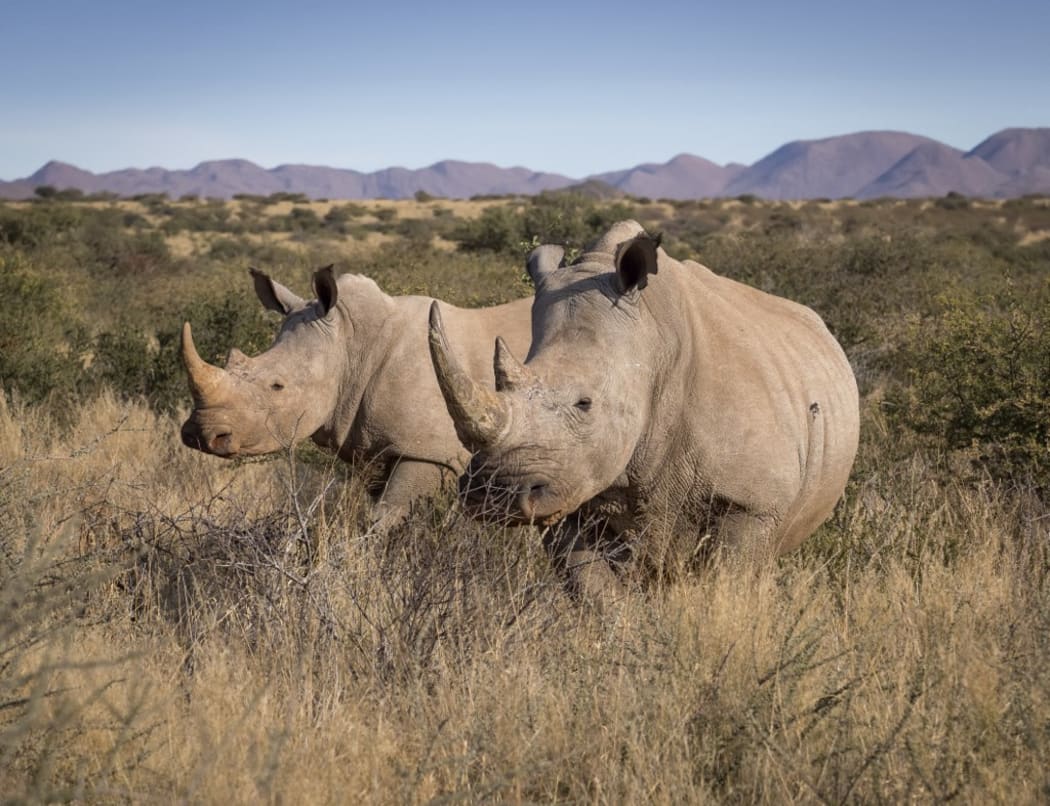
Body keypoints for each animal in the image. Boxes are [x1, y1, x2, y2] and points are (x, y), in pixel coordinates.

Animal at [180, 265, 533, 525]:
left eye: (277, 386)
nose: (200, 433)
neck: (351, 344)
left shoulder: (430, 451)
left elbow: (384, 518)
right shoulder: (375, 447)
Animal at [428, 221, 860, 594]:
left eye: (585, 403)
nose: (493, 494)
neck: (653, 341)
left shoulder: (751, 504)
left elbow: (727, 586)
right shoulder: (571, 486)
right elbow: (593, 590)